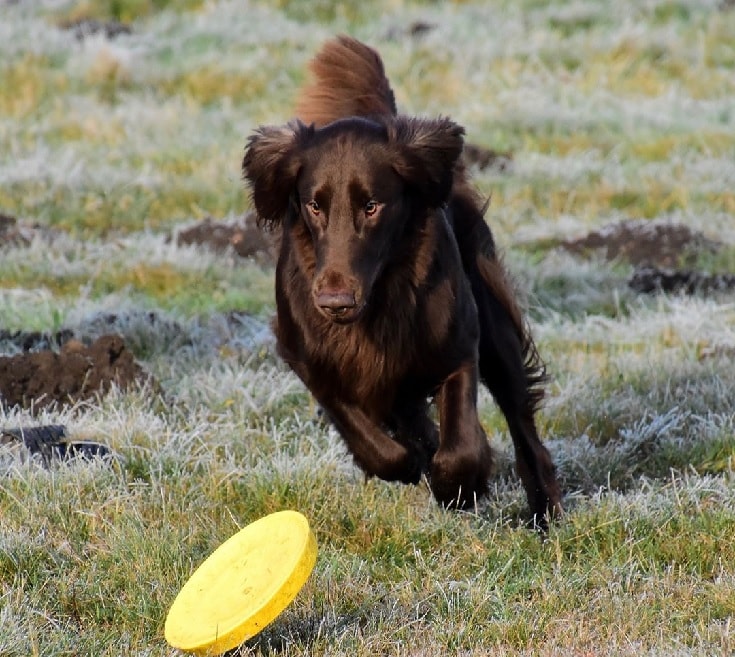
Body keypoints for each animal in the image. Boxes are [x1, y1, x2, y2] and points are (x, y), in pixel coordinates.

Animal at [243, 37, 564, 524]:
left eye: (372, 206)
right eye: (314, 206)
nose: (334, 302)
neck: (378, 304)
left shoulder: (457, 344)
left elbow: (462, 447)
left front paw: (460, 487)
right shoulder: (310, 359)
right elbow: (376, 446)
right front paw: (415, 461)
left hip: (492, 321)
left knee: (519, 414)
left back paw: (544, 511)